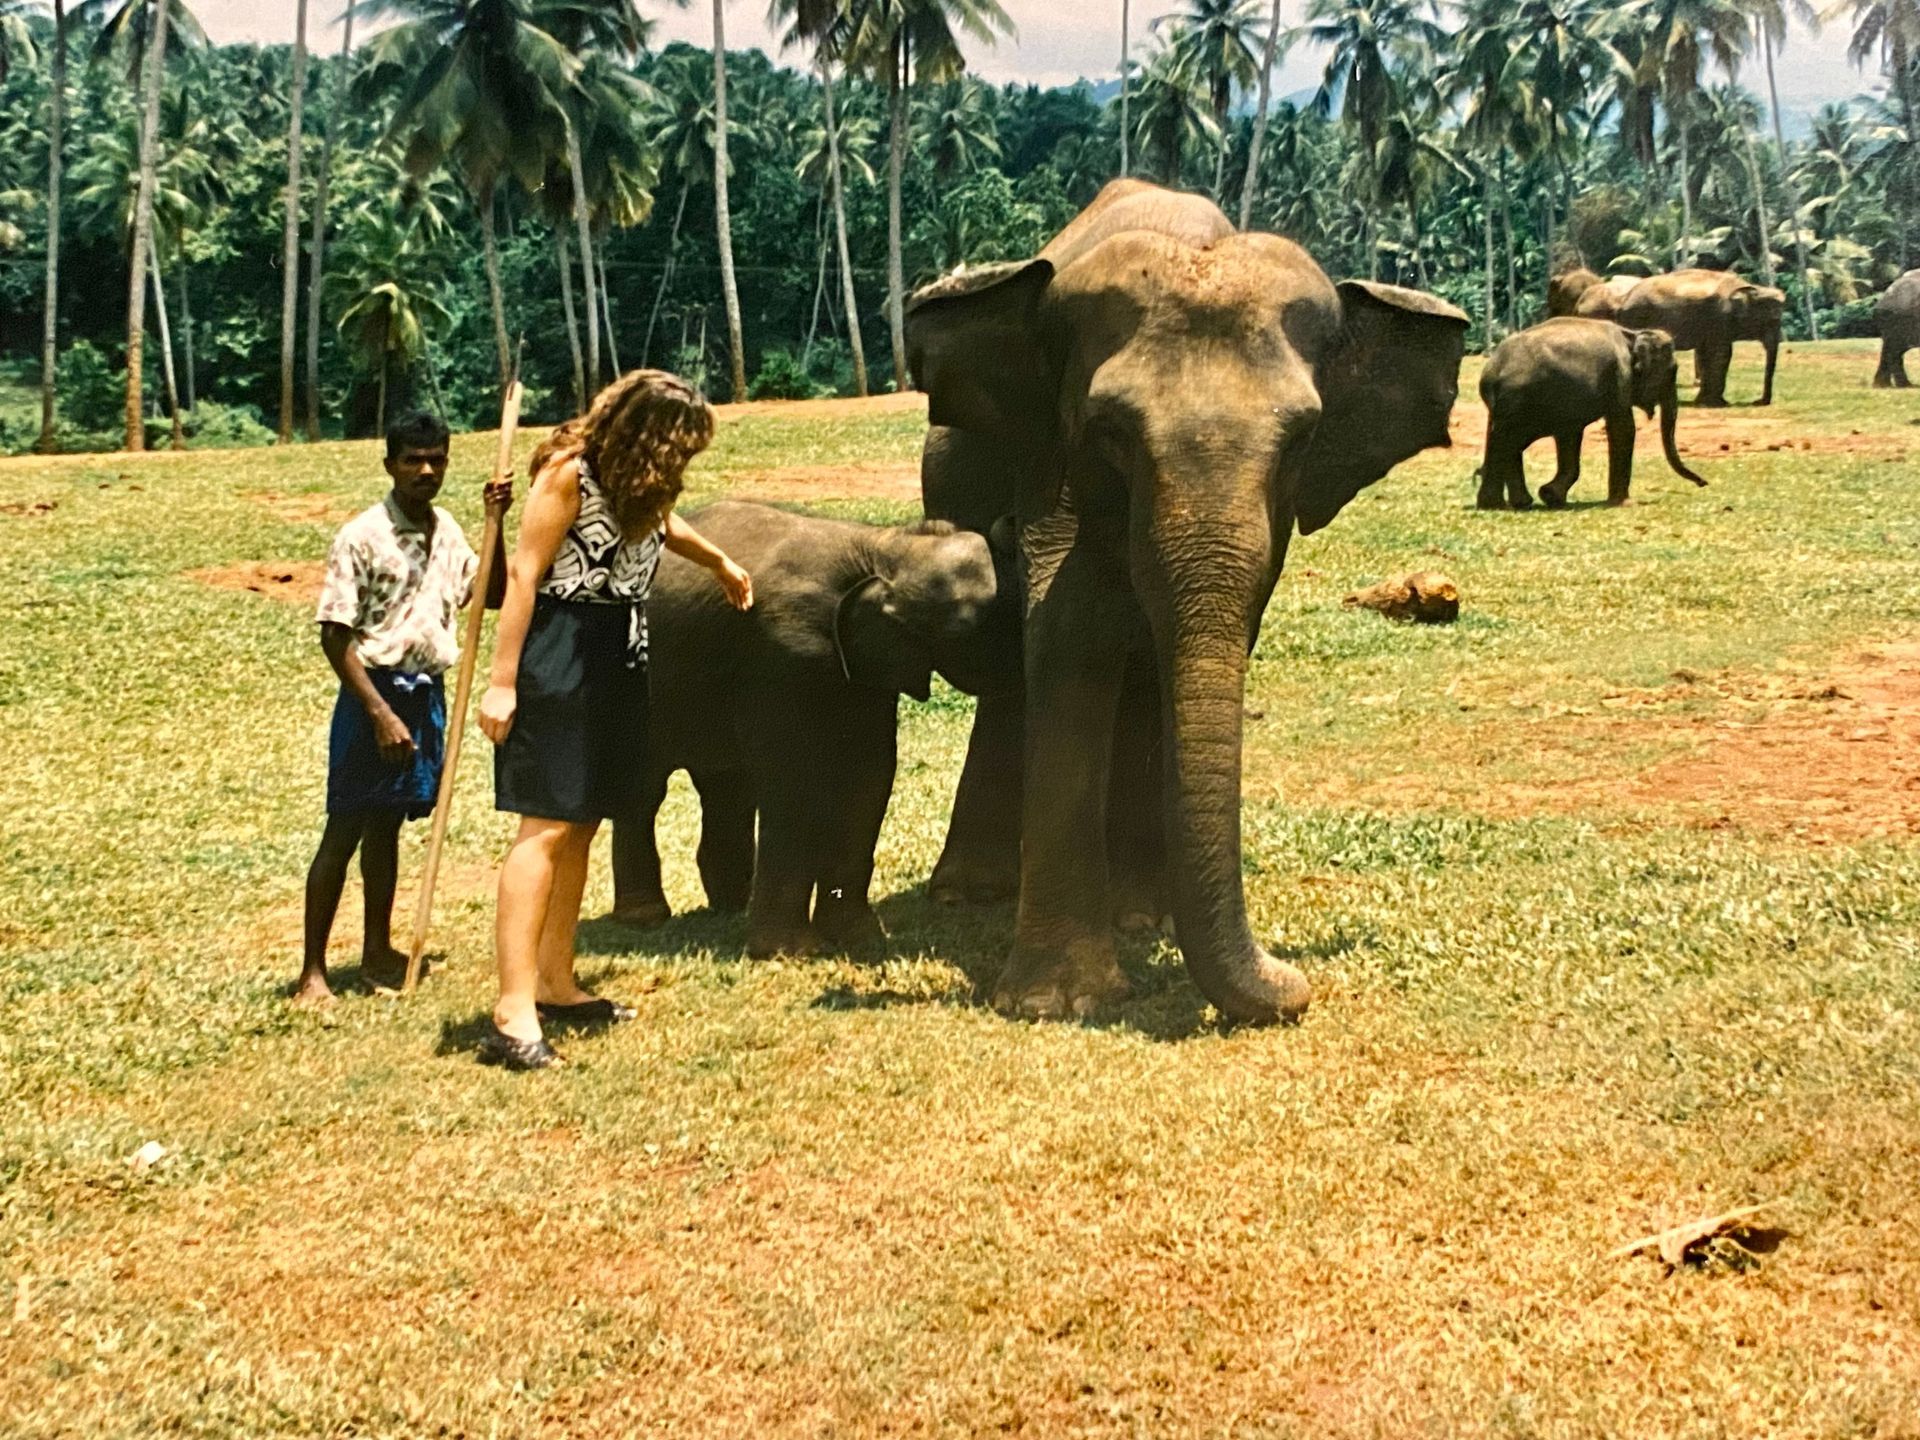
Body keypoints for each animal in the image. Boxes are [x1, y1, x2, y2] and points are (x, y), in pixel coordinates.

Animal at [608, 500, 1017, 959]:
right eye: (990, 626)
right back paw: (645, 918)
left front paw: (862, 939)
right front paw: (792, 952)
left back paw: (731, 906)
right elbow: (796, 782)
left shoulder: (865, 670)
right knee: (647, 789)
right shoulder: (786, 655)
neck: (885, 548)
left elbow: (868, 776)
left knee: (727, 787)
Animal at [905, 178, 1469, 1025]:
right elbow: (1070, 631)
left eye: (1302, 440)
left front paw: (1144, 924)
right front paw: (1058, 1001)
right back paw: (970, 896)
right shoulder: (1055, 462)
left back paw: (1137, 910)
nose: (1297, 987)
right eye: (1109, 430)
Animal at [1476, 318, 1706, 510]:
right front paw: (1625, 504)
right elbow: (1623, 428)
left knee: (1504, 441)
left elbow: (1570, 436)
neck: (1632, 334)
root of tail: (1492, 370)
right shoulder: (1619, 378)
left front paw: (1551, 496)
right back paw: (1502, 504)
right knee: (1508, 441)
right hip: (1520, 400)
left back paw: (1510, 503)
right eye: (1672, 371)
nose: (1703, 483)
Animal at [1614, 269, 1785, 407]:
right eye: (1773, 320)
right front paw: (1717, 404)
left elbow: (1706, 355)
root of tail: (1624, 300)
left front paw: (1704, 401)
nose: (1759, 401)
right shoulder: (1719, 318)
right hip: (1636, 318)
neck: (1750, 287)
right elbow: (1721, 355)